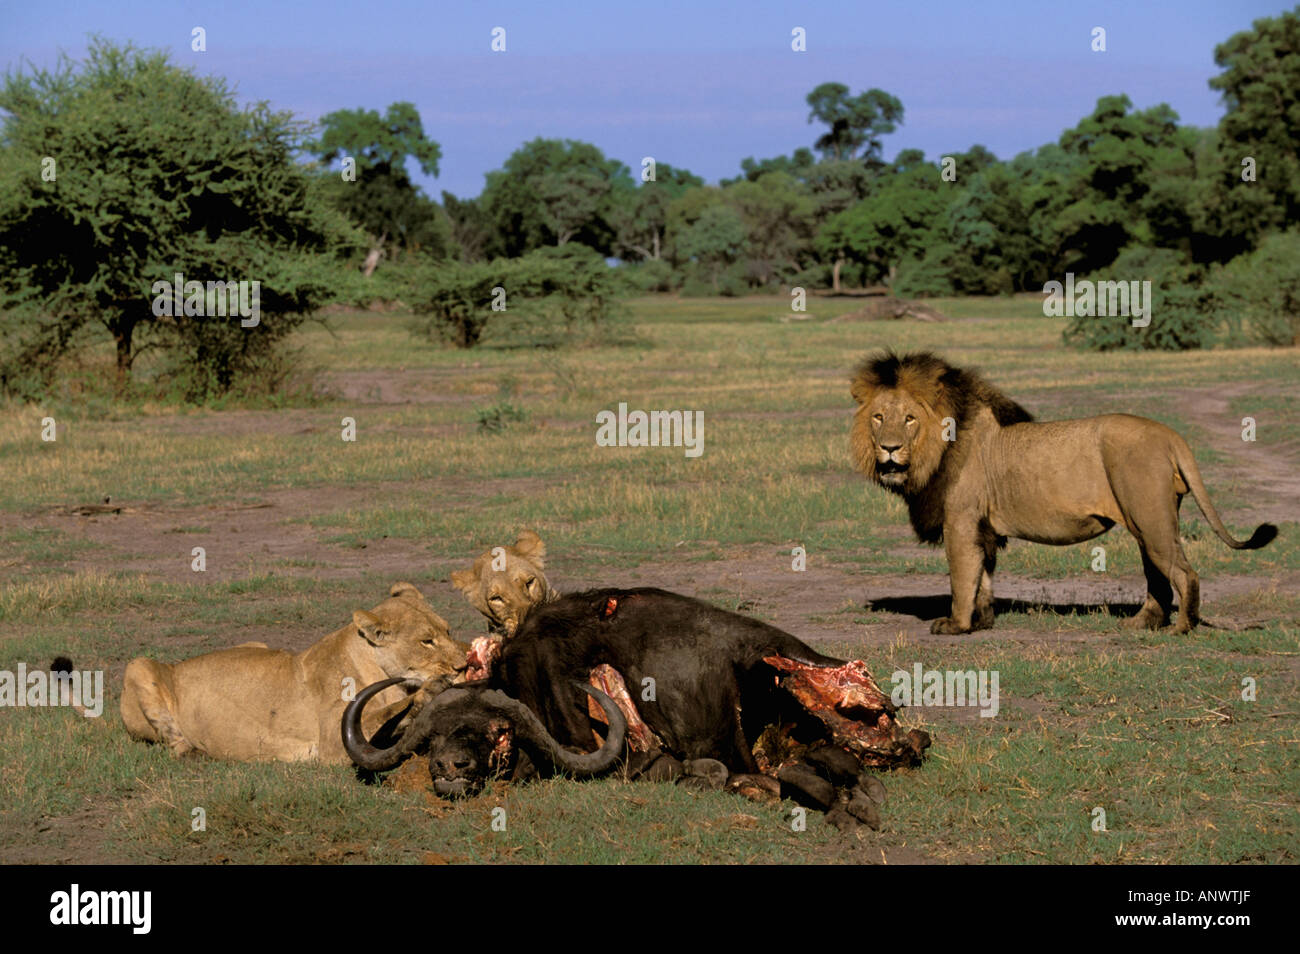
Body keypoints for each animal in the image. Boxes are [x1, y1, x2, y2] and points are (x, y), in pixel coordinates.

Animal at [120, 582, 467, 764]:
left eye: (448, 631)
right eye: (426, 641)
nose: (463, 665)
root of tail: (178, 665)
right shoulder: (332, 743)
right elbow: (388, 711)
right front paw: (431, 690)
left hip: (256, 642)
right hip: (138, 664)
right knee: (172, 741)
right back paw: (194, 750)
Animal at [847, 350, 1274, 634]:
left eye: (909, 419)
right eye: (878, 417)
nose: (888, 448)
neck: (938, 448)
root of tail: (1171, 435)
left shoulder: (962, 521)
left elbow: (961, 576)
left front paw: (957, 625)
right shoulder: (984, 528)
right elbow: (983, 578)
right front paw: (983, 621)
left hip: (1150, 518)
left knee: (1185, 573)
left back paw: (1180, 628)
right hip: (1145, 522)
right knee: (1158, 576)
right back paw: (1142, 623)